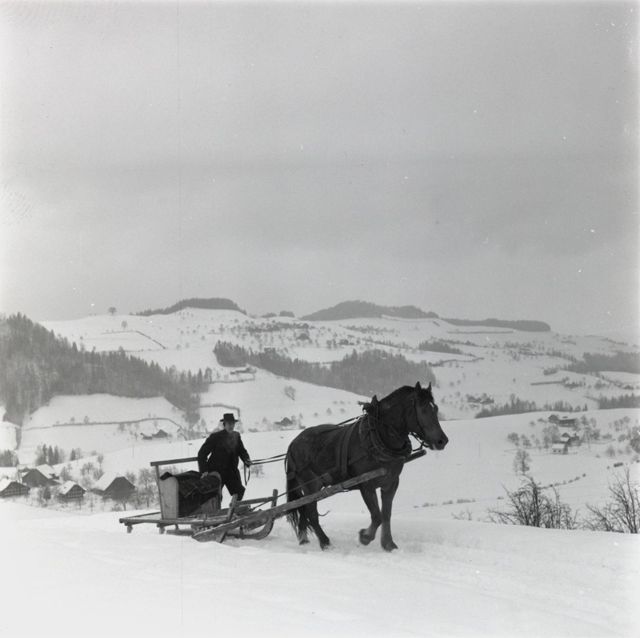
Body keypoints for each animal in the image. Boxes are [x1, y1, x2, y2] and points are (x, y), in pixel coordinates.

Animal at [285, 382, 448, 551]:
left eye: (435, 408)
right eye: (423, 409)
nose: (442, 441)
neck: (378, 436)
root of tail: (293, 443)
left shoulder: (391, 483)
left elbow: (386, 514)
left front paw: (388, 544)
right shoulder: (367, 484)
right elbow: (377, 516)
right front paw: (365, 536)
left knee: (304, 509)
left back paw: (305, 539)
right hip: (310, 485)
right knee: (311, 513)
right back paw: (325, 542)